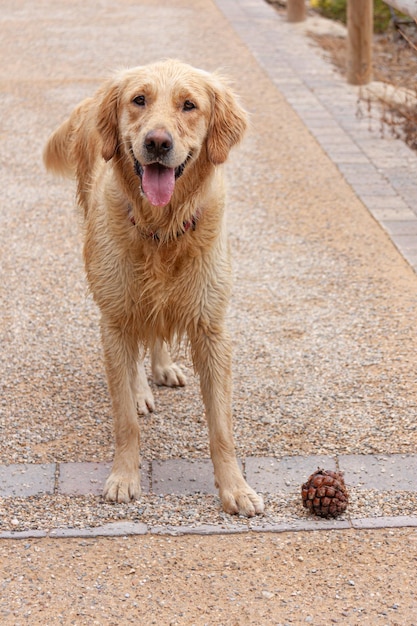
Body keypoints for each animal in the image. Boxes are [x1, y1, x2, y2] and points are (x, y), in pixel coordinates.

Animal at [44, 58, 264, 516]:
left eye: (189, 105)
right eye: (139, 100)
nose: (158, 142)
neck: (162, 231)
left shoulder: (212, 328)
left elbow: (222, 427)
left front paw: (235, 488)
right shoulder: (113, 319)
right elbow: (125, 419)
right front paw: (124, 477)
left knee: (156, 329)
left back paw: (161, 368)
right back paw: (141, 389)